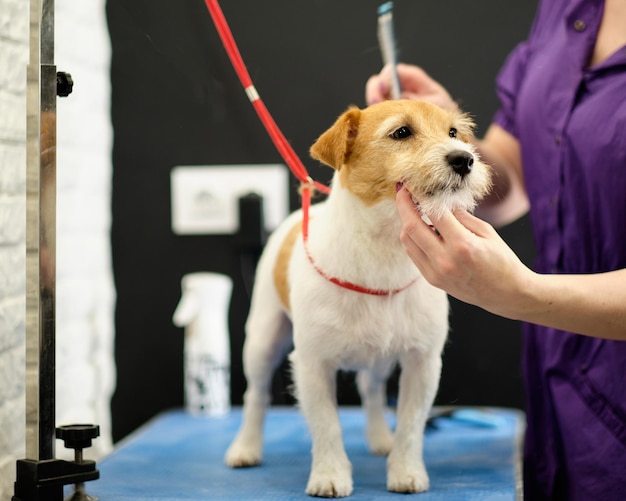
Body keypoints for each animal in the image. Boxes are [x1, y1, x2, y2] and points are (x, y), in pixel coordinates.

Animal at [222, 98, 490, 496]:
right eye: (401, 132)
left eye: (454, 132)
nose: (464, 159)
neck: (385, 249)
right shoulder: (313, 365)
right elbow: (327, 425)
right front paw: (330, 475)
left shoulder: (422, 363)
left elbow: (411, 425)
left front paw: (406, 471)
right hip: (262, 339)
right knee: (256, 395)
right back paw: (246, 447)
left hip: (380, 359)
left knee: (372, 390)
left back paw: (380, 438)